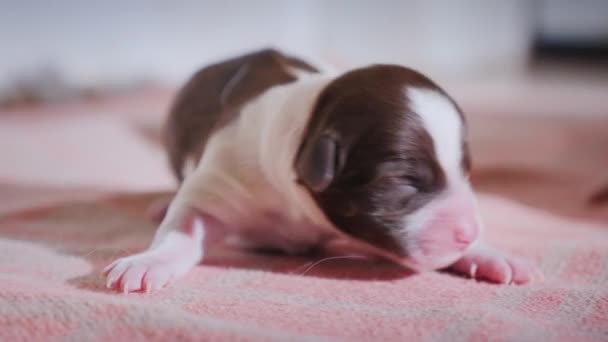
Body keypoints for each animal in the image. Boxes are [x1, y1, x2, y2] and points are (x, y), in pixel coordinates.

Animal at [103, 48, 536, 294]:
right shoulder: (221, 178)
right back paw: (162, 203)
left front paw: (490, 253)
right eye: (405, 181)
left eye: (466, 170)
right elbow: (183, 228)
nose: (469, 231)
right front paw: (147, 261)